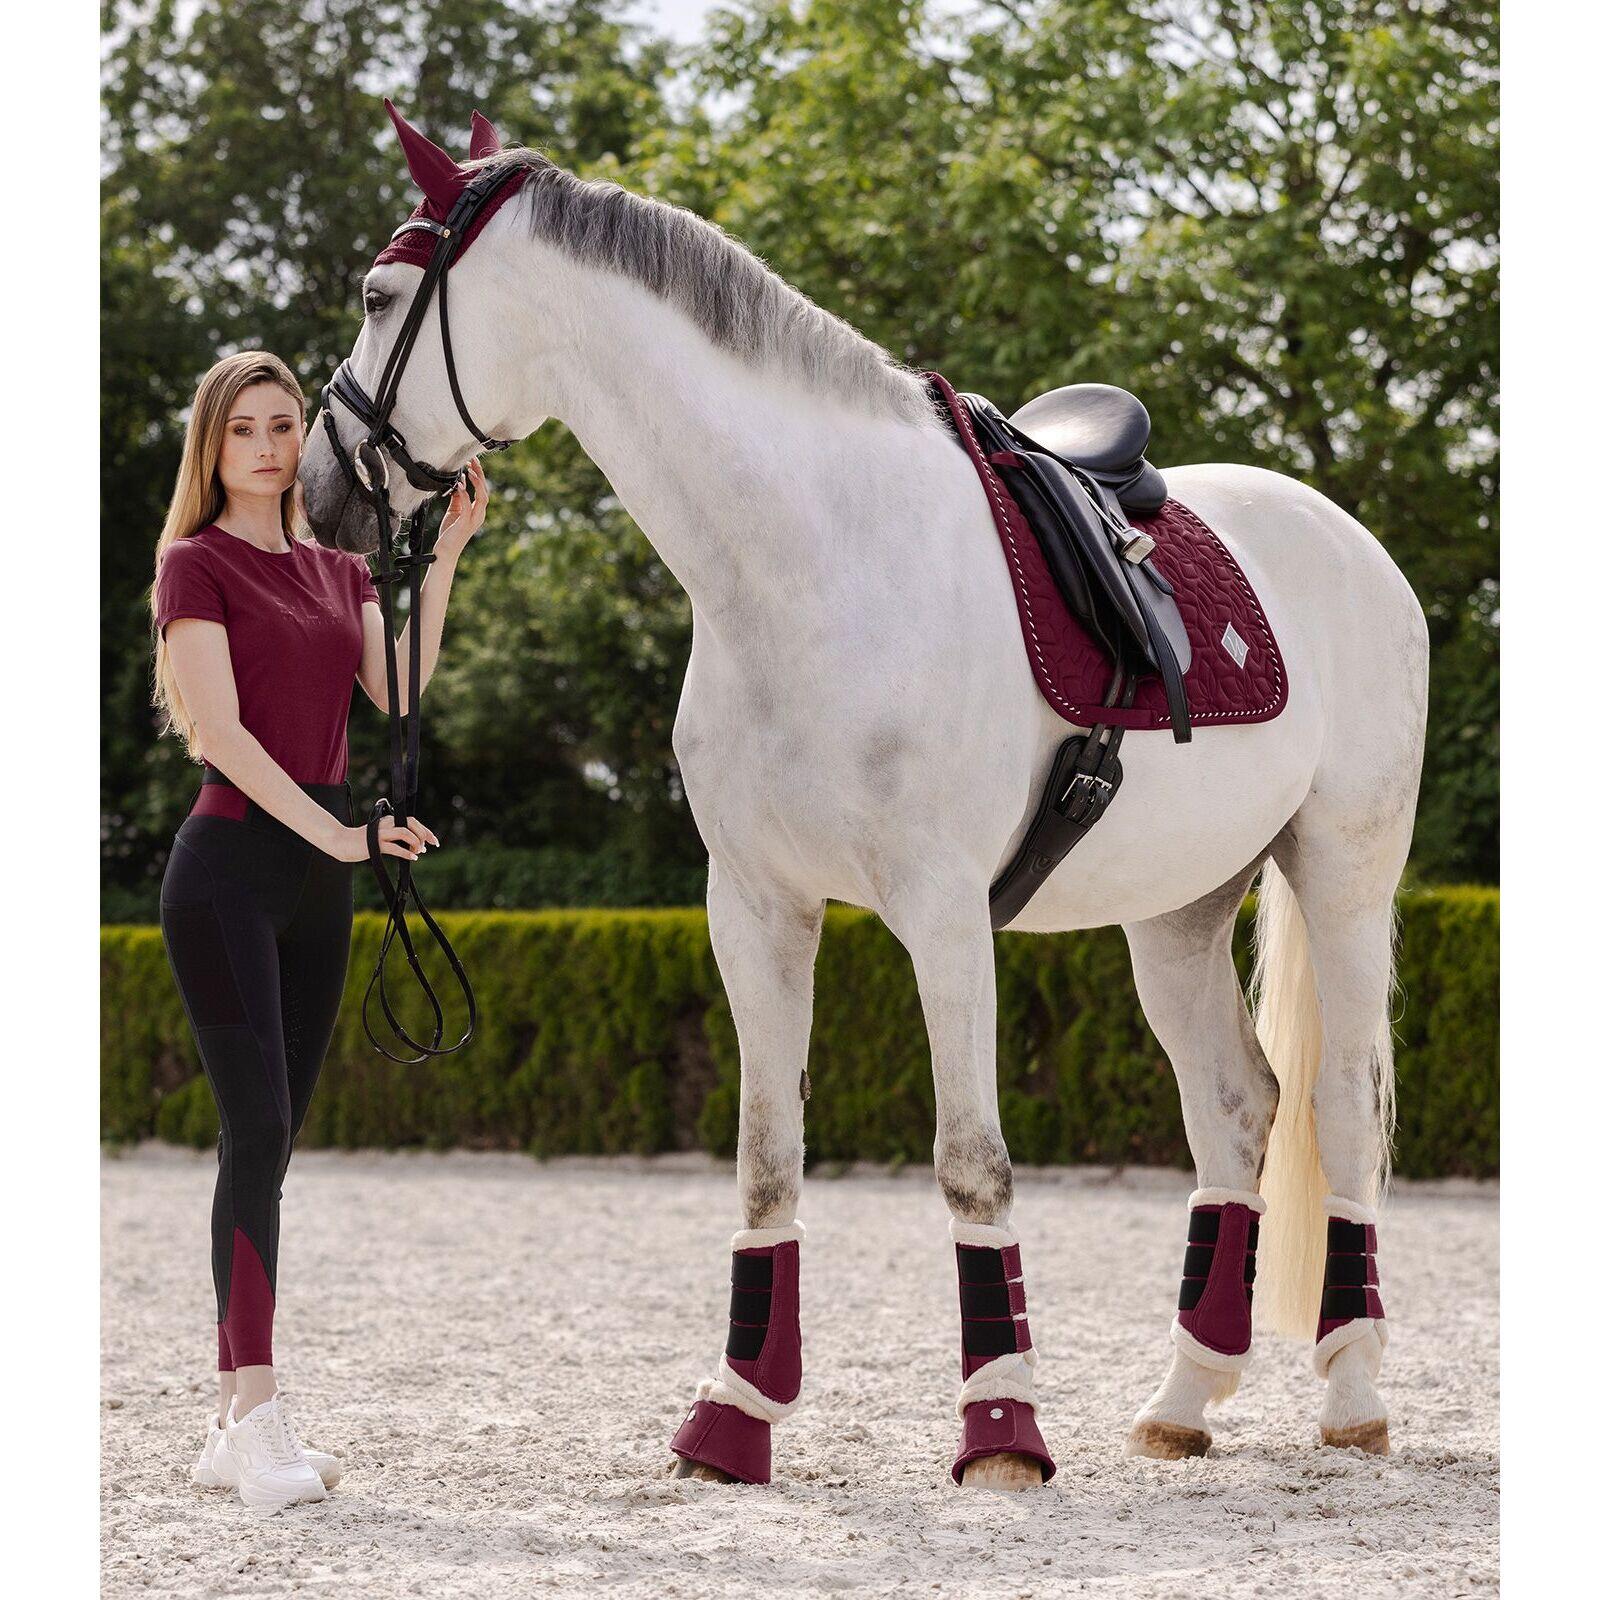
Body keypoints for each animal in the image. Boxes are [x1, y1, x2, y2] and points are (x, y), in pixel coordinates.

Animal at [300, 108, 1428, 1490]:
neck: (812, 561)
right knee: (1234, 1111)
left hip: (1342, 873)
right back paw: (1182, 1397)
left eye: (378, 296)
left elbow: (971, 1166)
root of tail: (1350, 543)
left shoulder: (943, 915)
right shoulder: (755, 909)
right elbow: (764, 1163)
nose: (321, 490)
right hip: (1176, 913)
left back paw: (1352, 1393)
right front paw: (733, 1415)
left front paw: (1002, 1431)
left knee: (1340, 1108)